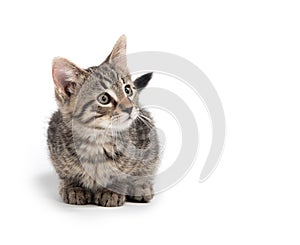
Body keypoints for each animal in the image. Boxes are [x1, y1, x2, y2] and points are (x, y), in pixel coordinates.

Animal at [47, 35, 159, 207]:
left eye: (127, 90)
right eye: (104, 99)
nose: (129, 108)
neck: (97, 140)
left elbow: (130, 172)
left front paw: (112, 190)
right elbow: (66, 173)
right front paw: (73, 187)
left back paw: (140, 186)